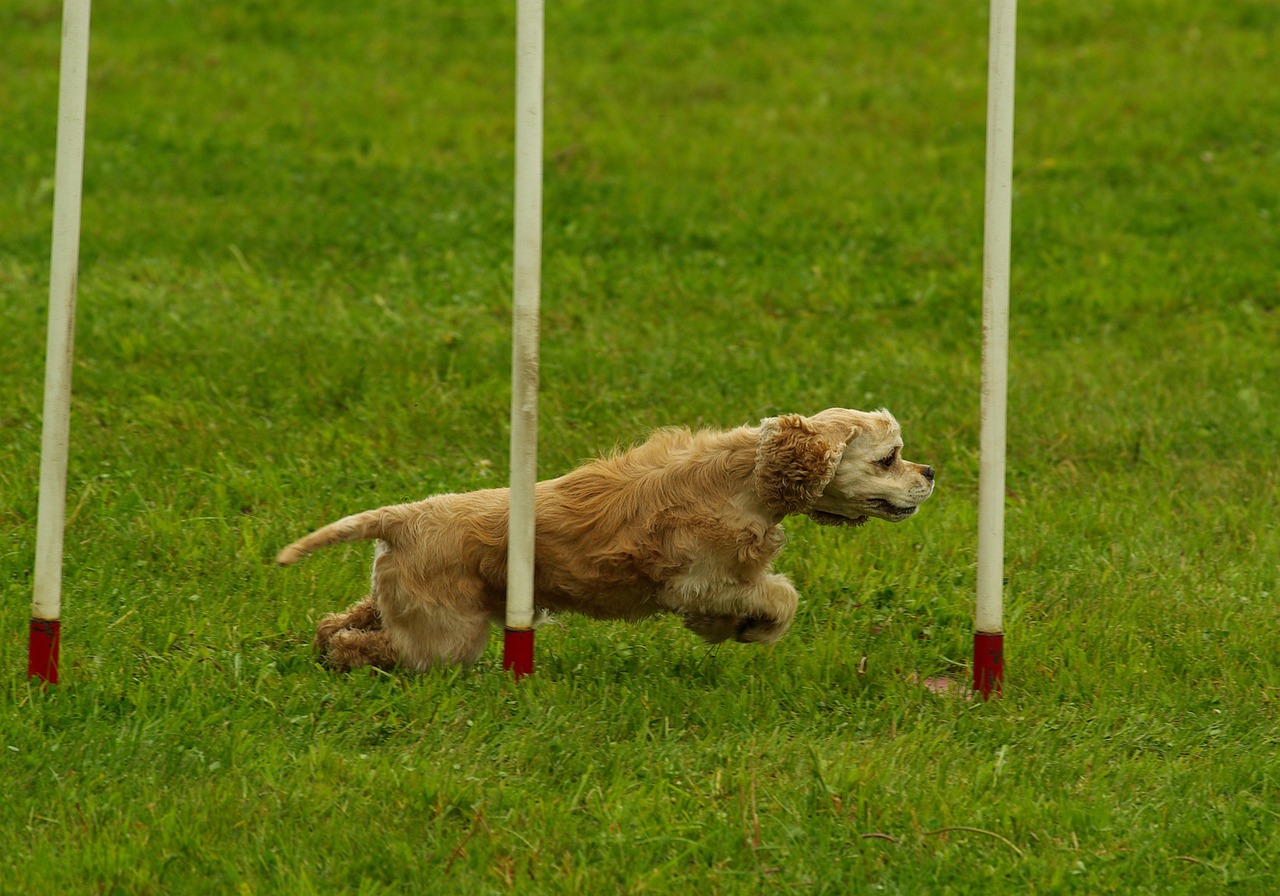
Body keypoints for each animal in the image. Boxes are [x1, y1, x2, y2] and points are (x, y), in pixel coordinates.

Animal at [277, 409, 931, 670]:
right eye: (889, 457)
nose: (929, 472)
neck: (747, 476)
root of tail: (402, 517)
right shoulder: (702, 582)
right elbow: (781, 597)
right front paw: (751, 629)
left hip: (396, 598)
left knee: (337, 624)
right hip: (447, 633)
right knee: (369, 648)